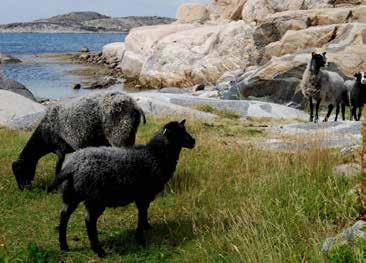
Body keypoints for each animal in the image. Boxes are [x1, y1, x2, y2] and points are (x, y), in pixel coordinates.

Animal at [11, 92, 146, 191]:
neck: (44, 135)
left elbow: (58, 167)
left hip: (119, 134)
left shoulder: (60, 147)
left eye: (20, 171)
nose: (23, 189)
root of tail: (135, 105)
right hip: (129, 134)